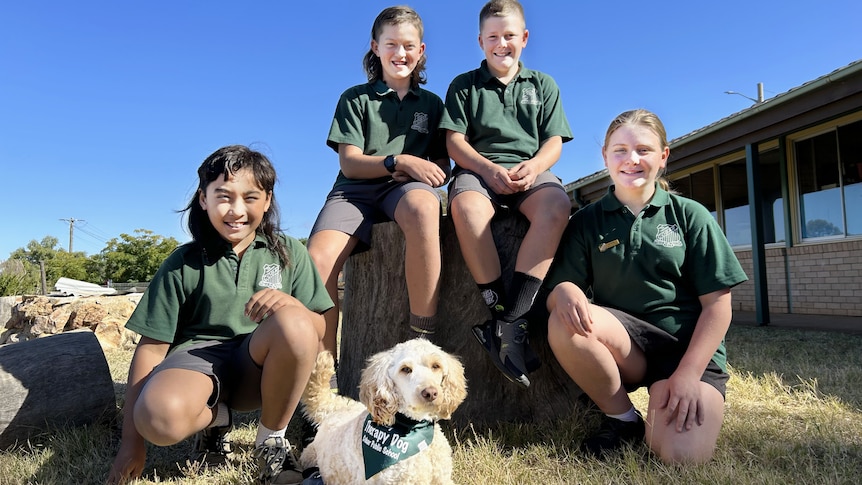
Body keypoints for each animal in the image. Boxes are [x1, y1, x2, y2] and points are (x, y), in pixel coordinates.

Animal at [302, 338, 470, 482]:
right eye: (406, 369)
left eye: (436, 366)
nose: (430, 393)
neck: (412, 428)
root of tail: (335, 408)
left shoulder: (442, 479)